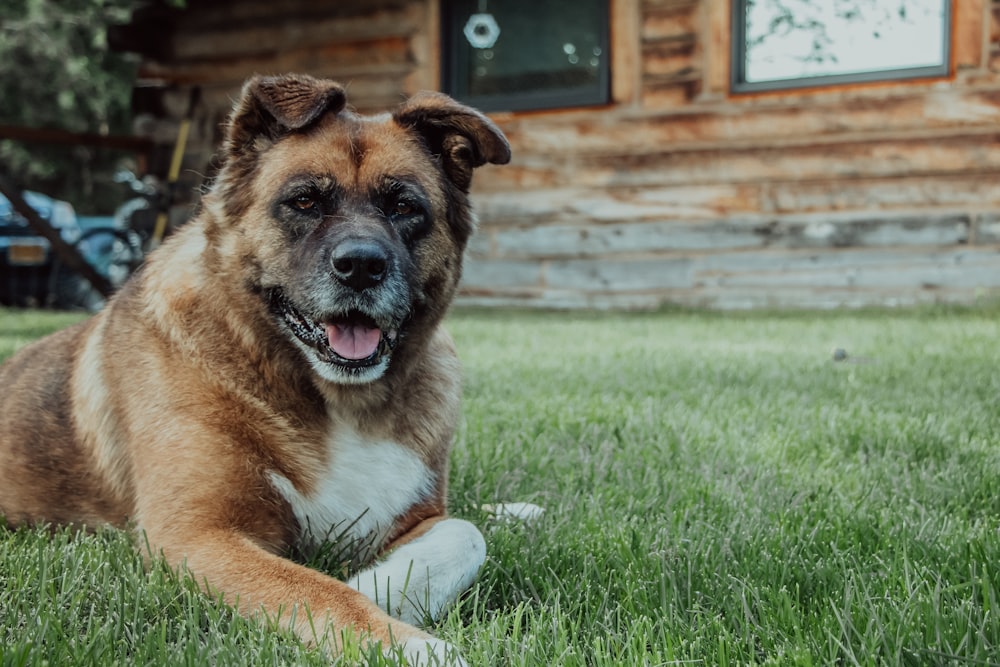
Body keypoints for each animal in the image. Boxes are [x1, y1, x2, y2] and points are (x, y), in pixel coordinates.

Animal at [0, 75, 508, 664]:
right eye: (304, 200)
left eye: (405, 206)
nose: (361, 266)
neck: (332, 401)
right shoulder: (198, 535)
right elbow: (317, 590)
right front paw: (403, 641)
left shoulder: (419, 517)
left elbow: (468, 534)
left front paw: (377, 585)